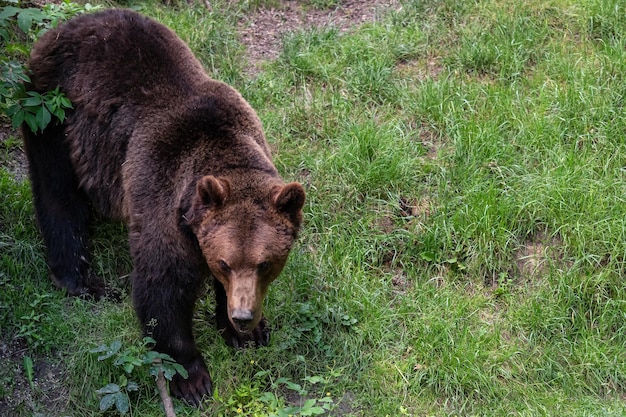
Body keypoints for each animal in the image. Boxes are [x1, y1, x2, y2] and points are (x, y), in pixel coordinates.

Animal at [23, 8, 304, 406]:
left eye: (265, 264)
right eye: (224, 262)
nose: (244, 315)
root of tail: (67, 25)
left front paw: (247, 332)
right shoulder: (163, 195)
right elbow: (162, 287)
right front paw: (192, 378)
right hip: (53, 112)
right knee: (58, 193)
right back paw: (83, 281)